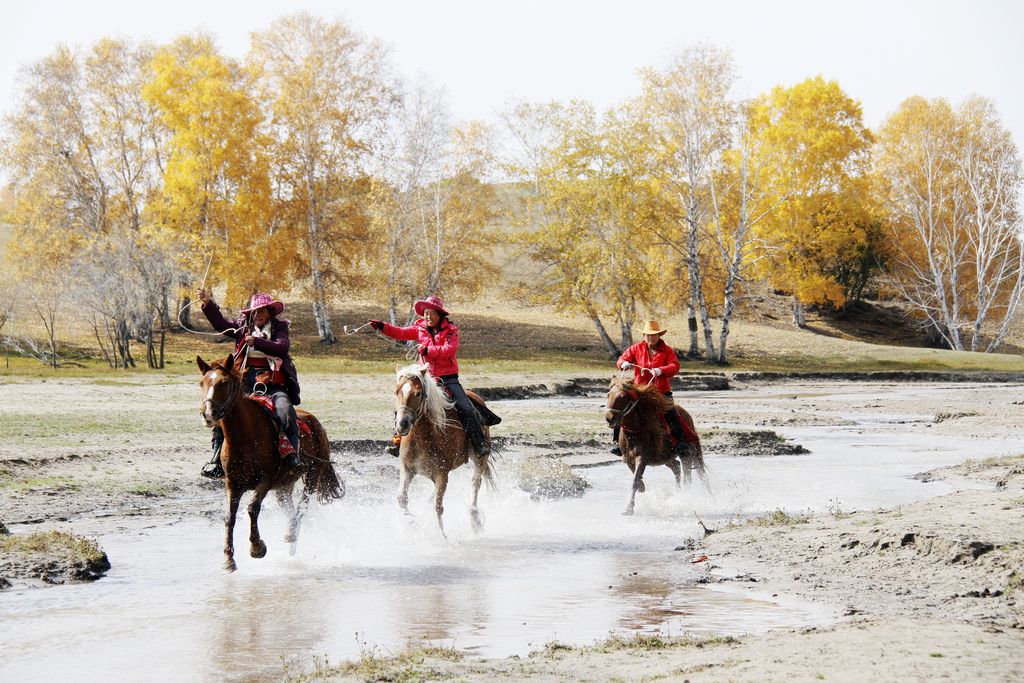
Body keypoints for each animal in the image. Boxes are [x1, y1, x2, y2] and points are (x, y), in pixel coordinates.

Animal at [197, 352, 346, 573]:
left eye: (224, 383)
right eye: (202, 383)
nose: (208, 414)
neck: (245, 436)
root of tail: (316, 423)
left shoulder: (265, 481)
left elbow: (252, 508)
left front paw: (257, 547)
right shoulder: (232, 484)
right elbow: (229, 517)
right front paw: (228, 559)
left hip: (313, 474)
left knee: (302, 506)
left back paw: (290, 535)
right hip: (284, 488)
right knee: (290, 510)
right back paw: (291, 541)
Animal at [391, 366, 495, 536]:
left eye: (418, 393)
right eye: (396, 391)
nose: (402, 424)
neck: (425, 436)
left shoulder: (441, 473)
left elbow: (438, 507)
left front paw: (442, 536)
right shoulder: (407, 469)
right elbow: (402, 499)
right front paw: (412, 523)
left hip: (480, 458)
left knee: (476, 483)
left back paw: (475, 519)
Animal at [602, 376, 708, 516]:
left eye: (623, 397)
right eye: (608, 394)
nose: (609, 418)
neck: (635, 431)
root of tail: (686, 415)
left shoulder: (642, 458)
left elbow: (635, 481)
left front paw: (629, 508)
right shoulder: (629, 460)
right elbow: (638, 481)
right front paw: (641, 493)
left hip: (689, 452)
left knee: (695, 475)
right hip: (666, 458)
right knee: (677, 468)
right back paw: (679, 494)